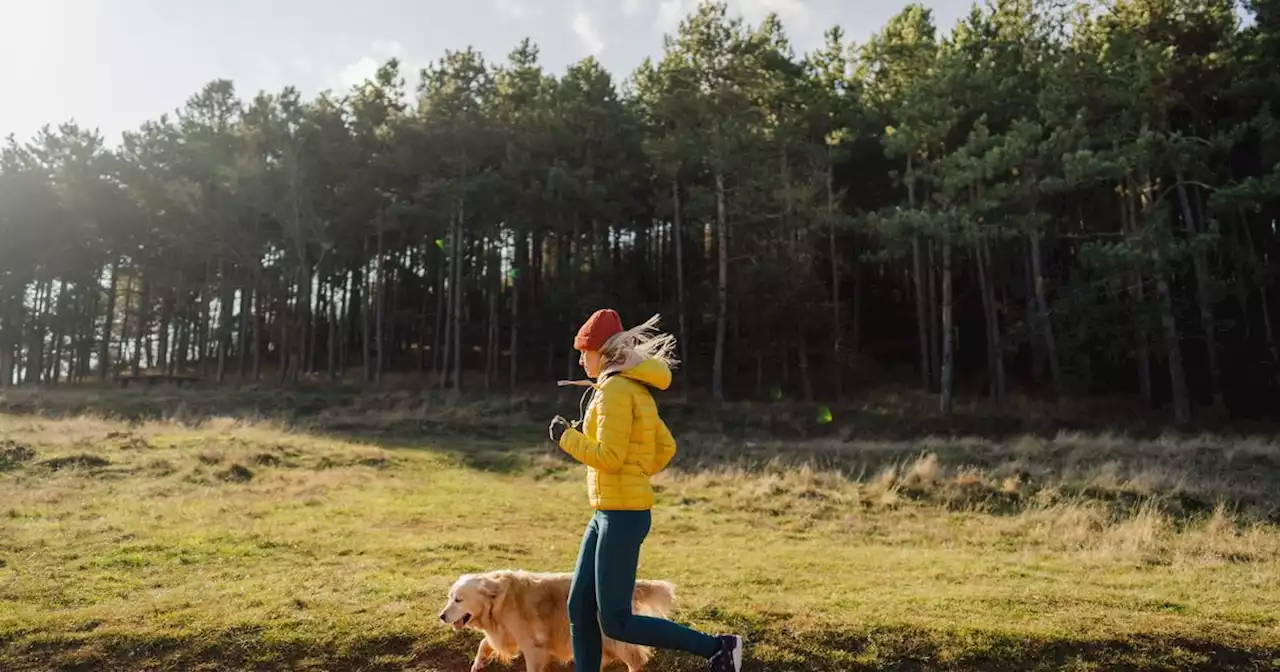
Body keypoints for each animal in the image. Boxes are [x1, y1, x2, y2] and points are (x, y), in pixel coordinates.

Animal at [437, 568, 680, 665]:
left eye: (458, 599)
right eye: (450, 597)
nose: (441, 616)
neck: (498, 600)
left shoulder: (534, 647)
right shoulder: (506, 635)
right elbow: (484, 644)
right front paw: (477, 664)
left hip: (612, 635)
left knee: (635, 658)